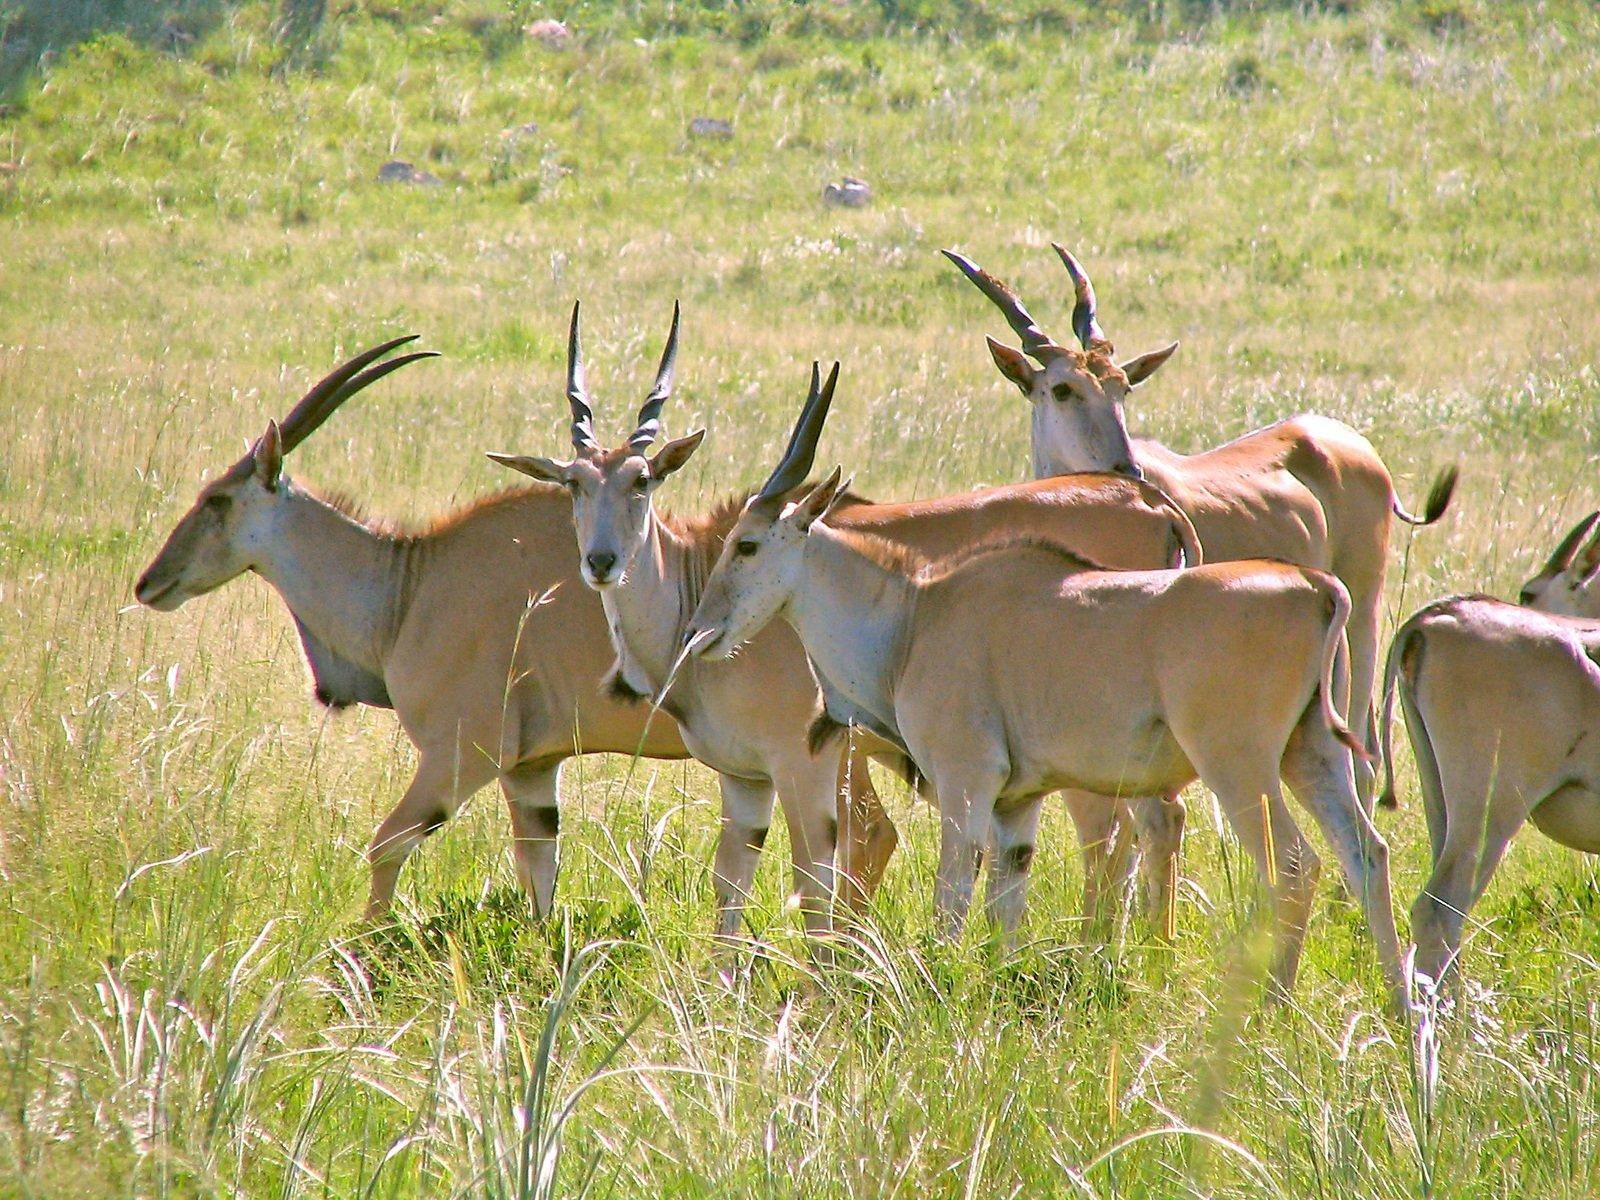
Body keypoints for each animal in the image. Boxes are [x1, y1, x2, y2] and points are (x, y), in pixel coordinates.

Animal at [131, 339, 908, 928]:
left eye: (216, 499)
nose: (149, 581)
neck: (410, 582)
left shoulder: (459, 755)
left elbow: (386, 848)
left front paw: (363, 959)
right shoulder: (531, 771)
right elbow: (539, 883)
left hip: (822, 756)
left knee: (861, 841)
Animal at [486, 302, 1203, 940]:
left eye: (641, 480)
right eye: (575, 483)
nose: (601, 561)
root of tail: (1151, 502)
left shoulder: (807, 764)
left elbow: (818, 883)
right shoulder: (745, 781)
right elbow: (730, 889)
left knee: (1119, 835)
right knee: (1151, 824)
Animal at [681, 364, 1408, 1004]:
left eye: (745, 544)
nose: (697, 631)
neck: (915, 611)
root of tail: (1317, 589)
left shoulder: (965, 785)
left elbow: (951, 900)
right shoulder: (1017, 807)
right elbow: (1005, 909)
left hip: (1238, 766)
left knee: (1293, 865)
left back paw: (1273, 1007)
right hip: (1312, 754)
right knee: (1365, 854)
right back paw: (1404, 1007)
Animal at [940, 244, 1459, 812]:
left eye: (1122, 387)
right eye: (1061, 388)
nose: (1129, 470)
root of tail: (1357, 445)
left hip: (1362, 612)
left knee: (1362, 753)